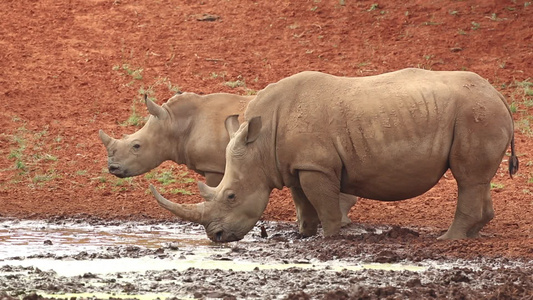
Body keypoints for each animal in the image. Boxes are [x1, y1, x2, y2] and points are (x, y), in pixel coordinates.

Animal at [149, 68, 516, 241]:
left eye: (230, 196)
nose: (216, 237)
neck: (261, 141)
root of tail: (498, 94)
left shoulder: (316, 166)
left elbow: (324, 204)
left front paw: (330, 236)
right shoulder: (295, 165)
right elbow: (303, 203)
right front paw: (302, 234)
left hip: (475, 113)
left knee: (467, 177)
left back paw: (449, 238)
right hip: (477, 111)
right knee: (477, 179)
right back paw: (472, 233)